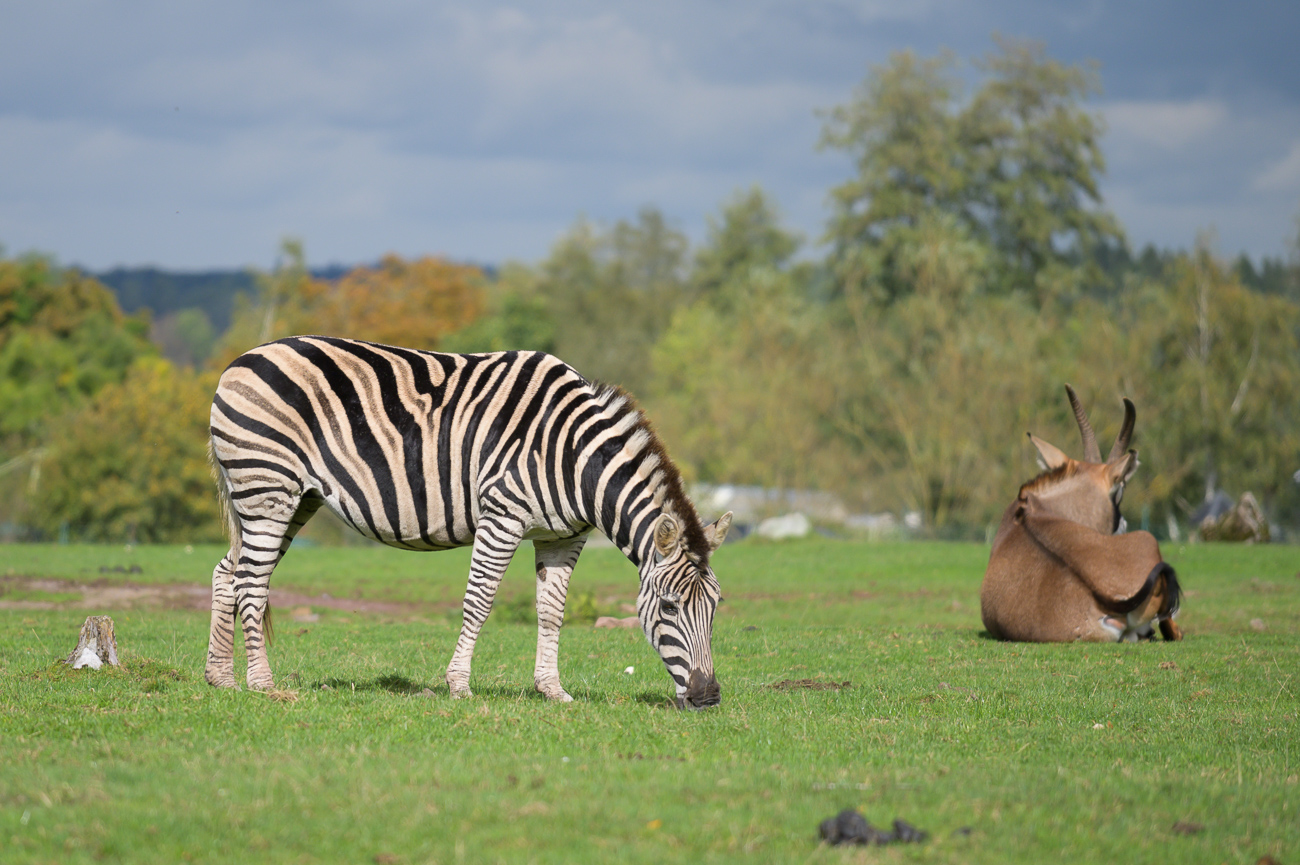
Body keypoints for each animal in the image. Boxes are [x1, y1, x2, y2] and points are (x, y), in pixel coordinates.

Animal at [206, 335, 732, 708]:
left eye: (716, 608)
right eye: (668, 607)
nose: (707, 698)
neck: (574, 458)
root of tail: (240, 360)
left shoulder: (562, 538)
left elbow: (552, 611)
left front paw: (552, 690)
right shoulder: (503, 517)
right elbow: (479, 602)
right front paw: (459, 686)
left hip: (292, 498)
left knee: (228, 572)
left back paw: (221, 678)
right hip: (267, 489)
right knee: (251, 581)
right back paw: (262, 684)